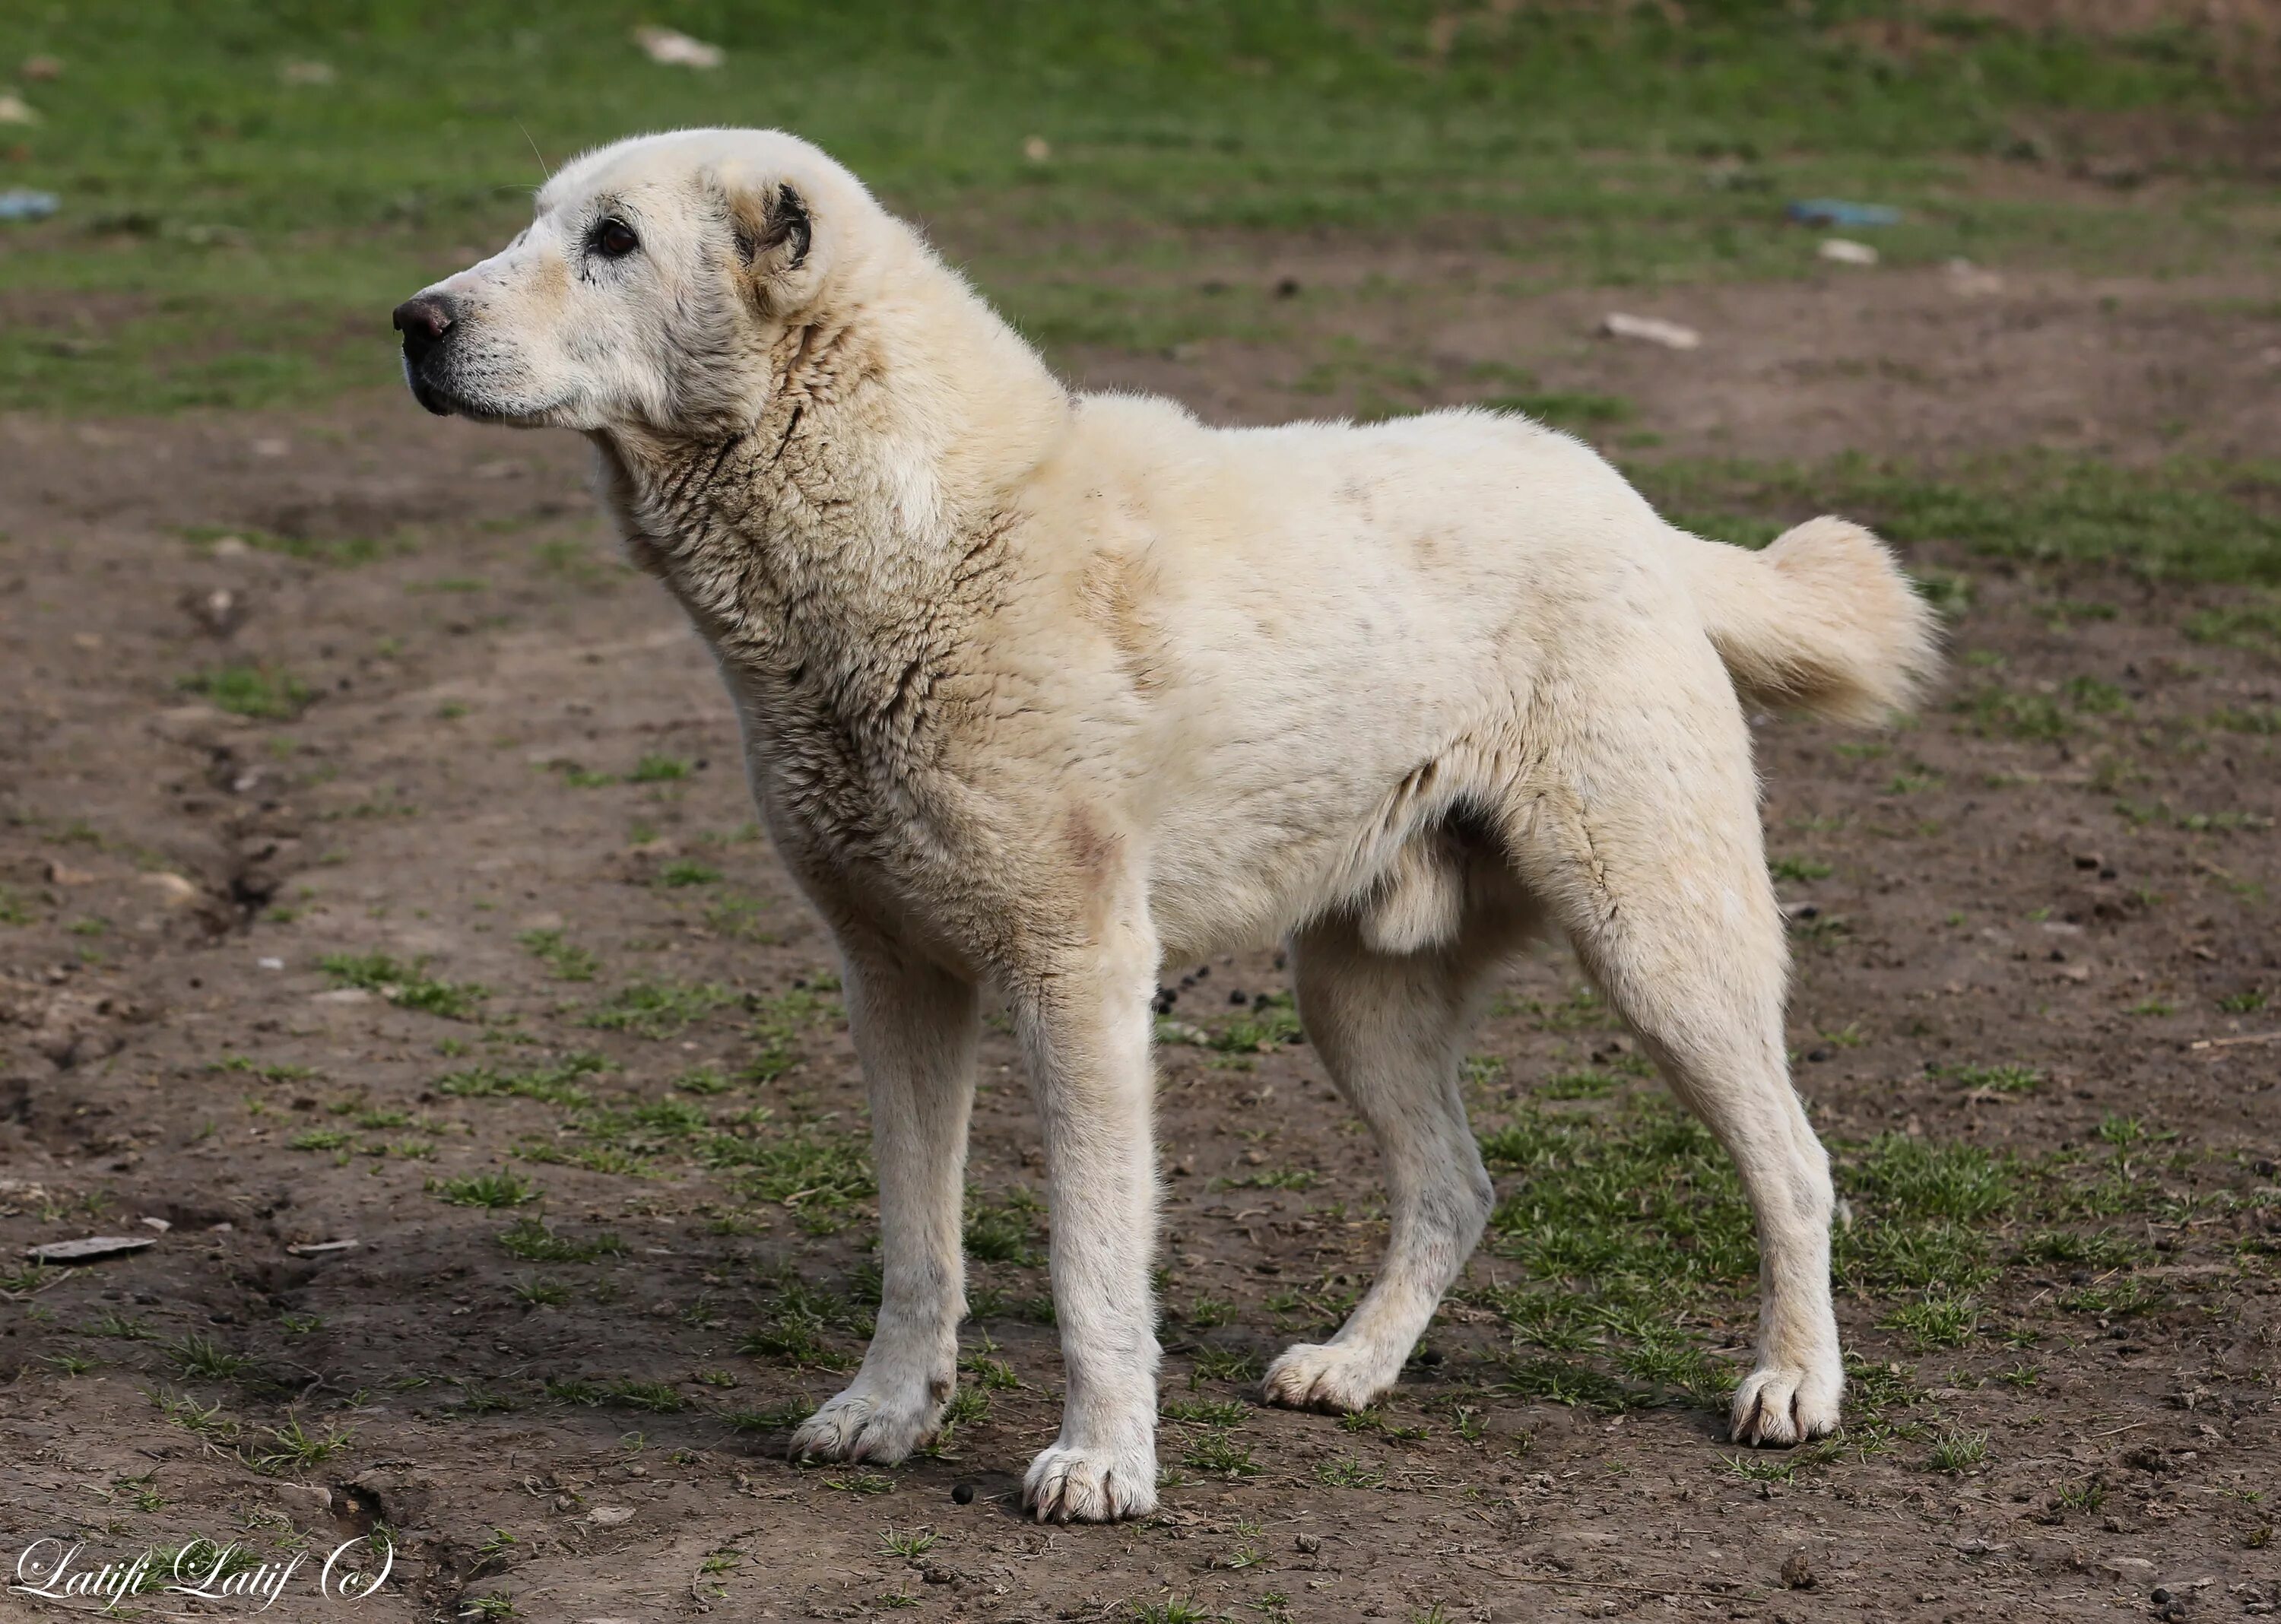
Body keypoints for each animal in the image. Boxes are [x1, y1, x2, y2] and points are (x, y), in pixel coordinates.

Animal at [397, 126, 1943, 1524]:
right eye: (536, 223)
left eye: (614, 241)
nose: (413, 323)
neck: (919, 539)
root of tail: (1643, 519)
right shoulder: (895, 981)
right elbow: (918, 1244)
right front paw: (891, 1413)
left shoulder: (1077, 979)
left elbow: (1090, 1260)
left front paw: (1103, 1466)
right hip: (1357, 994)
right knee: (1456, 1188)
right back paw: (1355, 1368)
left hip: (1660, 945)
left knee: (1795, 1168)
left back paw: (1795, 1385)